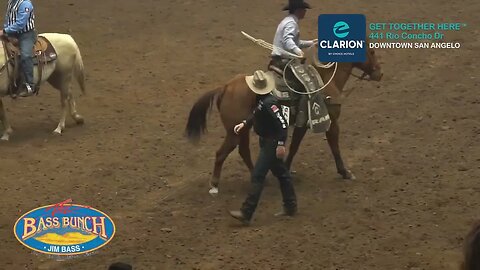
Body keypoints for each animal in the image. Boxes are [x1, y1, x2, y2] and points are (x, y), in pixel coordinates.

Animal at [184, 43, 382, 194]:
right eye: (372, 51)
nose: (379, 74)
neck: (326, 80)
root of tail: (225, 87)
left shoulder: (302, 124)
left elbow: (294, 147)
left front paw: (286, 168)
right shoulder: (331, 121)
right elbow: (335, 147)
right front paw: (345, 172)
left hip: (242, 130)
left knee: (243, 151)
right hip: (234, 133)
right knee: (221, 153)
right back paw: (214, 185)